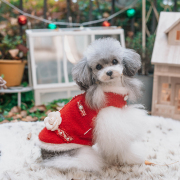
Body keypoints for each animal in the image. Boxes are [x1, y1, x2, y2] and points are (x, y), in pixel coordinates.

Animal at [37, 37, 148, 172]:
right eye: (98, 66)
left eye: (115, 61)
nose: (109, 72)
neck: (112, 90)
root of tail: (45, 154)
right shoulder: (112, 123)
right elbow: (121, 145)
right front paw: (129, 158)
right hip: (75, 153)